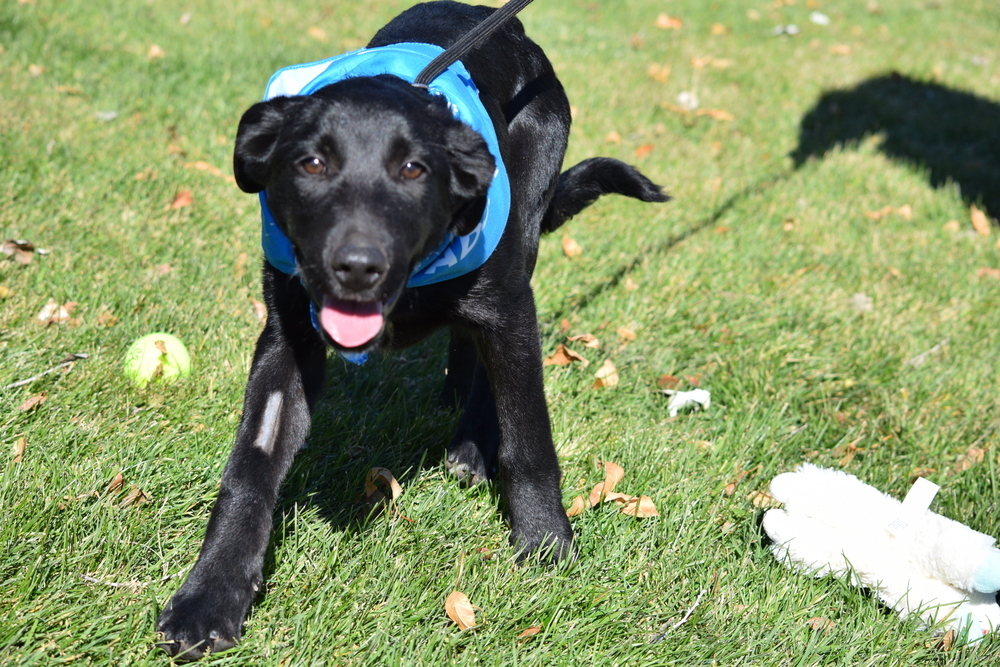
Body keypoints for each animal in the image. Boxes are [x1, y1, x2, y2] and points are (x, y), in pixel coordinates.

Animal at [158, 0, 664, 656]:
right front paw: (210, 595)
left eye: (413, 169)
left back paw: (473, 445)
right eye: (312, 162)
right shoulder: (288, 337)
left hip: (523, 230)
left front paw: (546, 543)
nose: (356, 267)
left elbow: (530, 439)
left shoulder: (509, 311)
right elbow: (249, 467)